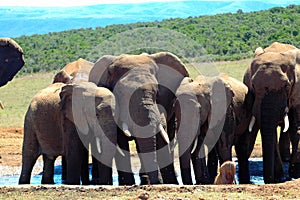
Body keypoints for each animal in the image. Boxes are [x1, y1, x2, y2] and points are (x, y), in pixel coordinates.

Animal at [88, 51, 189, 184]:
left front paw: (168, 183)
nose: (157, 182)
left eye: (156, 92)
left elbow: (161, 133)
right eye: (120, 94)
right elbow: (120, 138)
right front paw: (128, 184)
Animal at [244, 41, 300, 183]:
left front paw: (295, 174)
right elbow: (271, 131)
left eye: (286, 86)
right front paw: (280, 177)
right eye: (252, 85)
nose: (268, 179)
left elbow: (296, 128)